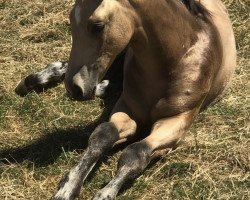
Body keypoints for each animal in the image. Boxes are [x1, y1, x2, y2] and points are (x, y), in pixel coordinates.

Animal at [16, 0, 236, 200]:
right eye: (70, 18)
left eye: (97, 26)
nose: (75, 89)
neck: (179, 57)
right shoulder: (128, 108)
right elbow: (104, 135)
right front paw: (67, 188)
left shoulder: (177, 120)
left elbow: (136, 152)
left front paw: (104, 194)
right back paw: (33, 81)